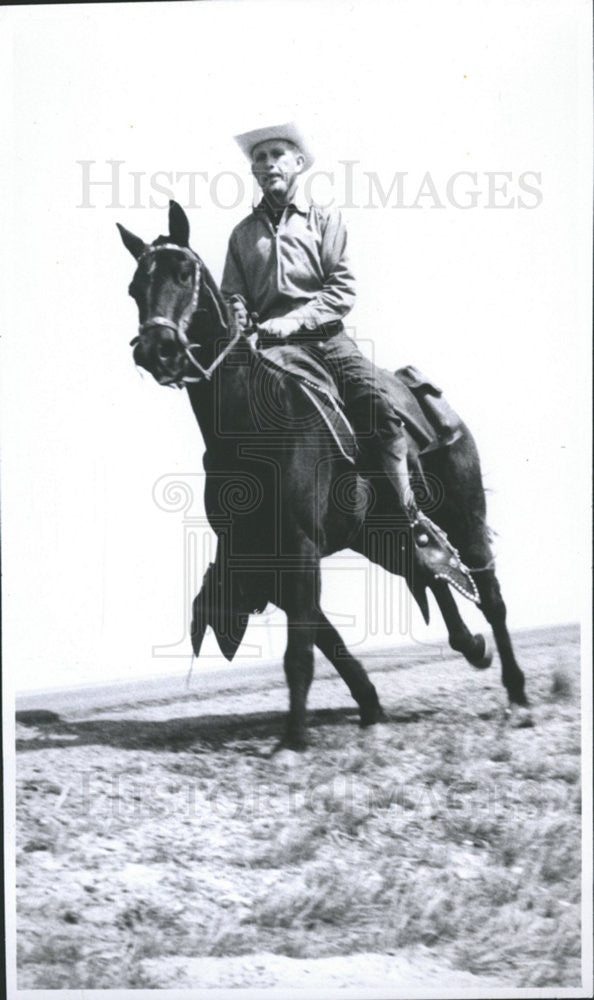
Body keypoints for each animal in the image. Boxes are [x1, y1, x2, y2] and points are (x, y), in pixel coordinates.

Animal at [118, 201, 528, 752]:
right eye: (134, 287)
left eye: (184, 272)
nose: (156, 349)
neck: (252, 425)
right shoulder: (267, 557)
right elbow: (324, 639)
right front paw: (369, 706)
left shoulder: (299, 545)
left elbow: (301, 650)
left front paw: (292, 741)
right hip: (380, 537)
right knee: (427, 569)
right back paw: (473, 646)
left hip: (465, 516)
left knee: (491, 594)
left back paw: (517, 693)